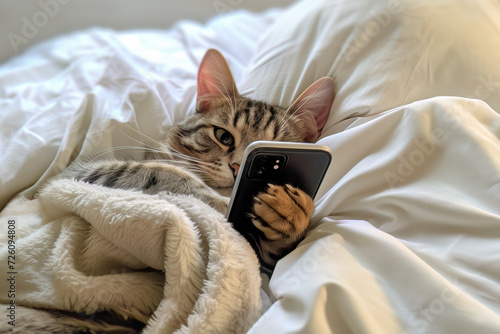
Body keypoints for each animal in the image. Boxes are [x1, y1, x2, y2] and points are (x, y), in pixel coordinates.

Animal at [62, 49, 336, 268]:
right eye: (224, 137)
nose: (238, 167)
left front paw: (293, 212)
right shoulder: (78, 174)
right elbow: (168, 173)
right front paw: (221, 203)